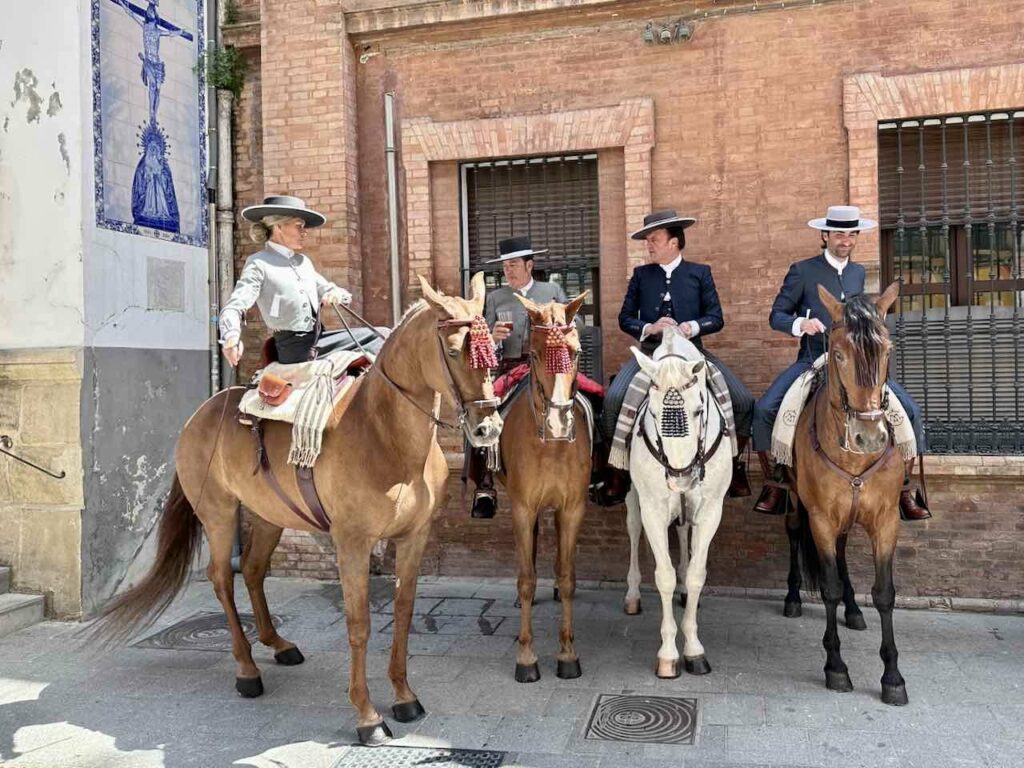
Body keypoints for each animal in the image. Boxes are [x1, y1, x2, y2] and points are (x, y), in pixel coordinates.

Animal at [89, 274, 503, 745]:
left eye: (492, 349)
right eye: (452, 351)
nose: (487, 428)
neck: (383, 433)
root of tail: (200, 414)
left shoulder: (414, 538)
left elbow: (402, 613)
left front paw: (403, 696)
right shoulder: (352, 543)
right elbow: (359, 624)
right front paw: (367, 715)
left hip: (269, 516)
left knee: (252, 570)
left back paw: (278, 644)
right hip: (218, 515)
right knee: (222, 579)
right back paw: (247, 669)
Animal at [618, 331, 733, 679]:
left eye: (698, 410)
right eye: (654, 414)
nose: (681, 479)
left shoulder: (711, 512)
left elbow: (696, 574)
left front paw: (694, 649)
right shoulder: (654, 510)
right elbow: (664, 576)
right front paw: (669, 654)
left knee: (683, 531)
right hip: (635, 499)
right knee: (634, 530)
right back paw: (632, 596)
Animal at [786, 280, 909, 704]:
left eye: (887, 350)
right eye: (838, 353)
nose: (869, 436)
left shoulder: (886, 520)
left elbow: (885, 593)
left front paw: (893, 675)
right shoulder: (821, 518)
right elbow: (829, 587)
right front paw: (836, 666)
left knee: (841, 552)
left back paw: (854, 609)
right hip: (796, 503)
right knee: (794, 533)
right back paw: (792, 598)